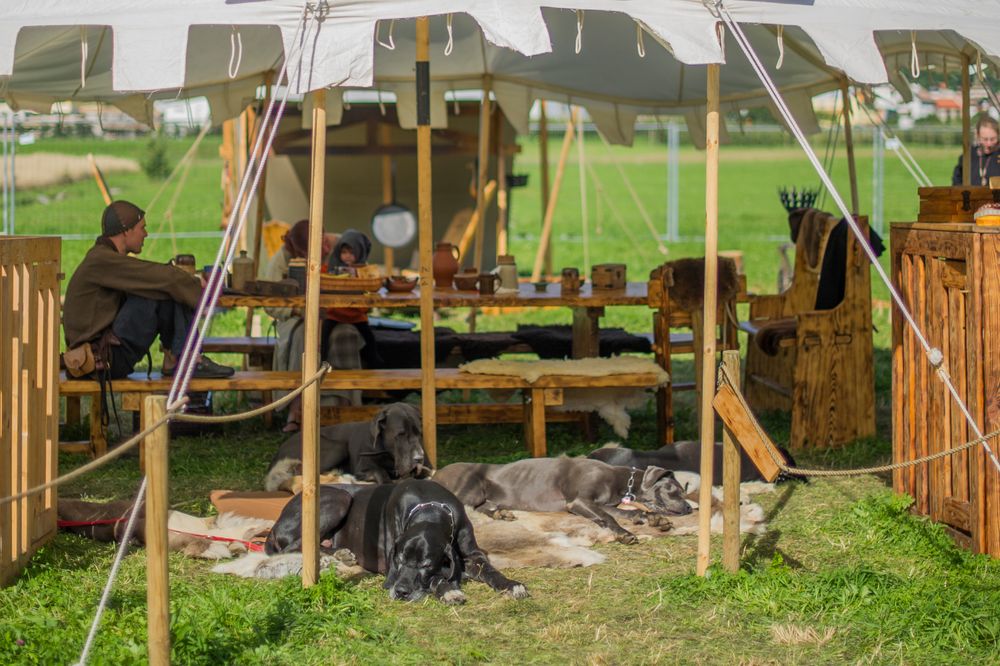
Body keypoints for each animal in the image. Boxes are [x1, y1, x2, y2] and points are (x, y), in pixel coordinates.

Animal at [264, 400, 428, 488]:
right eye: (400, 434)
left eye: (419, 433)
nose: (419, 458)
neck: (388, 454)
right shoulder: (362, 467)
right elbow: (379, 471)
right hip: (338, 447)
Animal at [266, 478, 532, 600]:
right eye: (400, 560)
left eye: (426, 564)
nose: (401, 592)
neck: (430, 508)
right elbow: (437, 579)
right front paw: (448, 591)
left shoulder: (472, 554)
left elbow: (490, 570)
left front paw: (511, 584)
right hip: (339, 498)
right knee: (293, 547)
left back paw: (342, 554)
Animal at [434, 456, 692, 544]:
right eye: (675, 490)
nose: (690, 508)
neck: (620, 480)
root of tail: (436, 473)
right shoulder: (579, 502)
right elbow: (609, 517)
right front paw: (624, 534)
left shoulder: (604, 503)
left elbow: (623, 512)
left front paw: (654, 519)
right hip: (471, 489)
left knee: (483, 508)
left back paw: (501, 513)